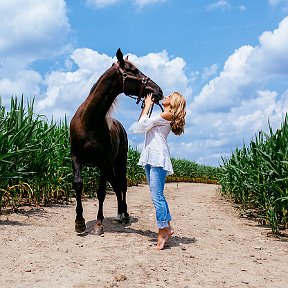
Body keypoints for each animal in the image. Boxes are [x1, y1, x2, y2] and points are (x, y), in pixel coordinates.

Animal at [69, 49, 163, 234]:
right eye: (134, 70)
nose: (159, 90)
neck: (88, 121)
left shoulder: (104, 162)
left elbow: (101, 192)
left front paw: (99, 224)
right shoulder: (76, 158)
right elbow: (78, 185)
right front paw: (79, 222)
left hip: (119, 161)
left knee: (122, 184)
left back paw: (124, 214)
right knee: (116, 185)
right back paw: (119, 214)